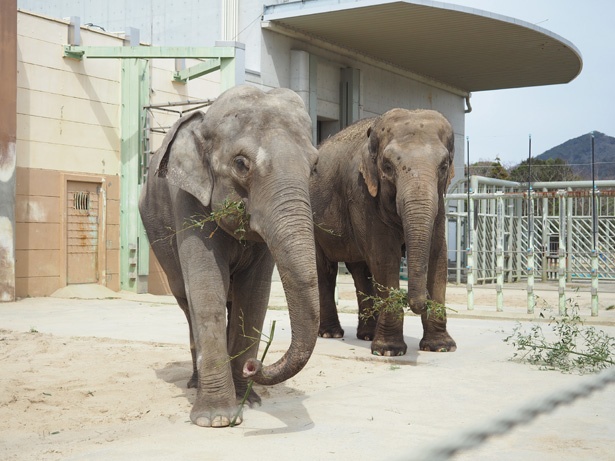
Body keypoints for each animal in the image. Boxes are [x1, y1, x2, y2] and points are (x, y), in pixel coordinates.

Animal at [139, 84, 320, 426]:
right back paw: (195, 383)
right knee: (187, 301)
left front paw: (249, 403)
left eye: (315, 167)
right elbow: (206, 288)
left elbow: (254, 296)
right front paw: (216, 419)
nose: (254, 367)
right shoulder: (188, 201)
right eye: (240, 164)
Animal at [312, 107, 458, 356]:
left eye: (444, 166)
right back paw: (331, 334)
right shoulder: (362, 192)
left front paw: (441, 347)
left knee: (361, 271)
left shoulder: (439, 202)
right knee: (326, 270)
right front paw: (388, 350)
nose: (418, 304)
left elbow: (437, 255)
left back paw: (366, 335)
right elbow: (385, 258)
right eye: (388, 167)